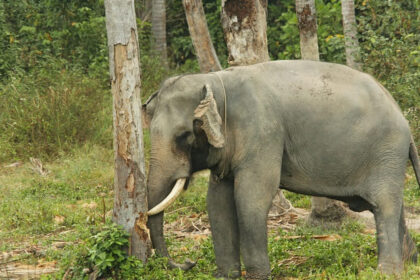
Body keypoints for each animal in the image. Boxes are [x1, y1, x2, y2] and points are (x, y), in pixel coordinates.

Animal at [142, 60, 420, 278]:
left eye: (184, 135)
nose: (188, 263)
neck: (215, 80)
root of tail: (402, 117)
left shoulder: (263, 131)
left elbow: (251, 197)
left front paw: (258, 276)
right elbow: (217, 201)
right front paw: (226, 276)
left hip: (387, 151)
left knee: (384, 206)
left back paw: (387, 273)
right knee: (392, 207)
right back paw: (409, 265)